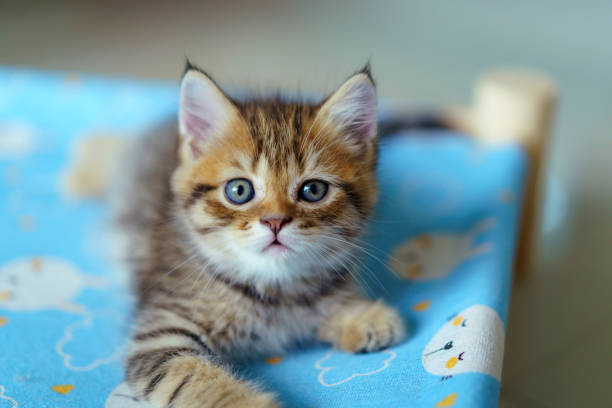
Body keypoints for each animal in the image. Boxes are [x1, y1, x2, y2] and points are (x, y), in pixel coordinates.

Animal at [118, 62, 406, 406]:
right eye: (239, 190)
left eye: (313, 190)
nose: (275, 221)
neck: (276, 291)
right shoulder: (162, 331)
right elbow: (197, 377)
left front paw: (360, 314)